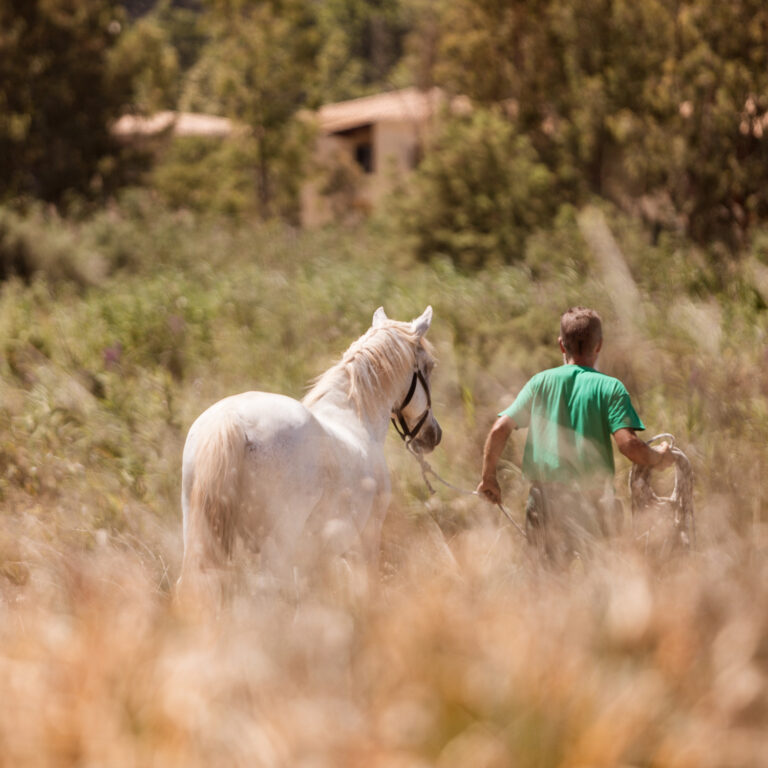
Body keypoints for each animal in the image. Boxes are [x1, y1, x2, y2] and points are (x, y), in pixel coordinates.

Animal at [177, 306, 441, 599]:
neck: (352, 415)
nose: (433, 435)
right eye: (429, 366)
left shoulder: (315, 560)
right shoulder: (365, 542)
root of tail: (232, 418)